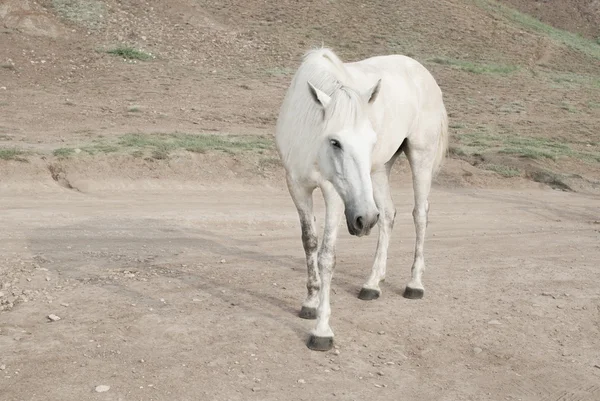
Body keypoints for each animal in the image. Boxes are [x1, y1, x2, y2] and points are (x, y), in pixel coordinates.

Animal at [274, 47, 448, 350]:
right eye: (335, 142)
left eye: (370, 141)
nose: (364, 220)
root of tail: (424, 74)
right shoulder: (297, 187)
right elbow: (309, 243)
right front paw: (310, 302)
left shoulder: (332, 193)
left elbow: (327, 256)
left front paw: (322, 330)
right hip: (379, 170)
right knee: (388, 215)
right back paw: (372, 283)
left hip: (420, 157)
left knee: (420, 215)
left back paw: (414, 284)